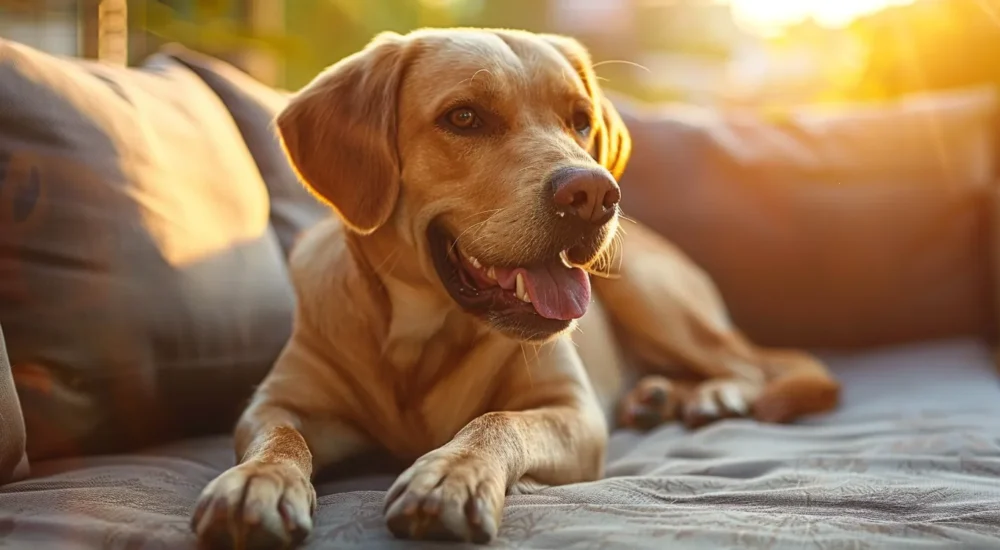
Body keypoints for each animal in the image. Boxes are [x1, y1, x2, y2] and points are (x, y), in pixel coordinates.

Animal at [189, 28, 844, 548]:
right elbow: (280, 438)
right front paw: (257, 483)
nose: (594, 194)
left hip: (648, 291)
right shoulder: (278, 402)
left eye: (580, 120)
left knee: (751, 365)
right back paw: (659, 396)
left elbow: (497, 420)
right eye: (463, 117)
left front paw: (451, 475)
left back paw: (711, 395)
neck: (419, 343)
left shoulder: (573, 411)